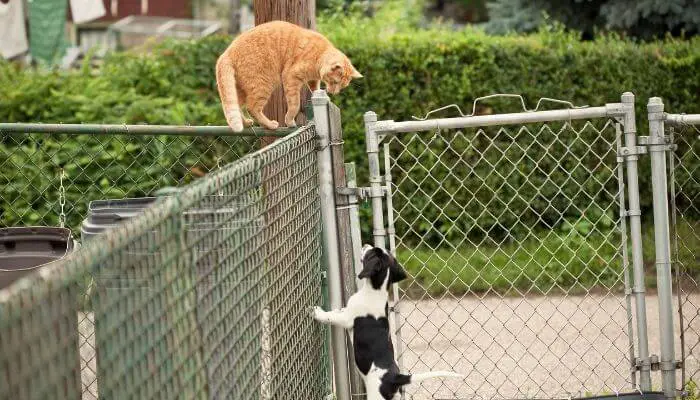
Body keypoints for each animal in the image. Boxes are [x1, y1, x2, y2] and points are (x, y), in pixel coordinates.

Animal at [216, 20, 364, 131]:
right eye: (335, 82)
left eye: (342, 86)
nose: (335, 92)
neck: (319, 55)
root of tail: (227, 53)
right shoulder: (291, 77)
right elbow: (295, 104)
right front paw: (290, 121)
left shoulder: (312, 80)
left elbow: (315, 89)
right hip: (264, 84)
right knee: (252, 107)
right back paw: (270, 125)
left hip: (241, 90)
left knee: (234, 107)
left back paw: (246, 123)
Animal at [308, 245, 462, 398]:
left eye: (371, 252)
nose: (366, 245)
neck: (375, 292)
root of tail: (395, 378)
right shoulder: (346, 311)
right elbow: (337, 311)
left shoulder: (347, 319)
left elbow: (330, 317)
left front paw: (317, 312)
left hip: (376, 395)